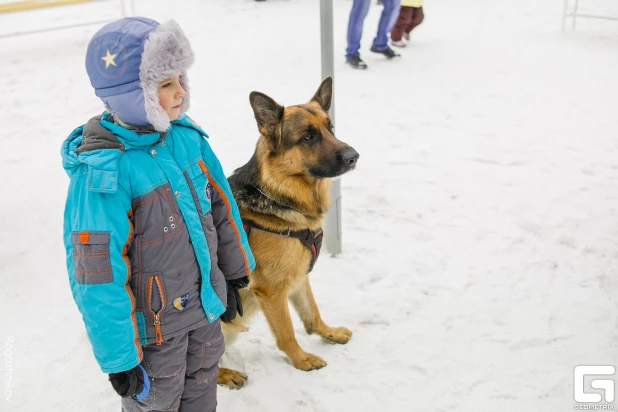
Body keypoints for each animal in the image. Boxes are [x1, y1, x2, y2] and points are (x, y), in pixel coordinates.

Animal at [218, 78, 358, 390]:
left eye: (330, 128)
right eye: (307, 137)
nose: (354, 157)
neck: (279, 196)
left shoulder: (298, 276)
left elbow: (312, 313)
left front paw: (328, 333)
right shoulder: (271, 291)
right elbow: (287, 332)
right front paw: (301, 359)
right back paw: (225, 374)